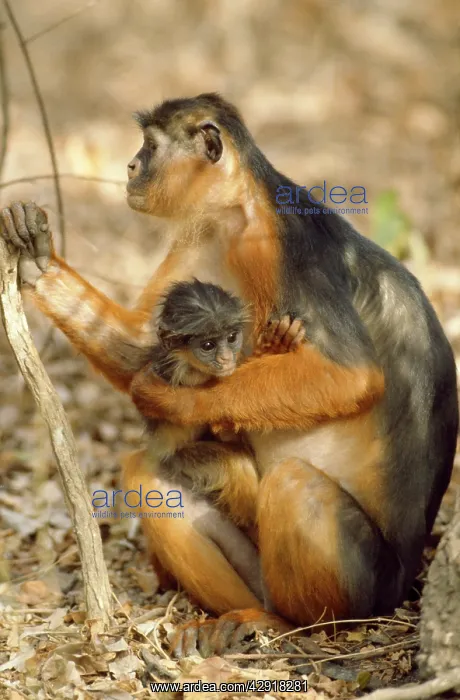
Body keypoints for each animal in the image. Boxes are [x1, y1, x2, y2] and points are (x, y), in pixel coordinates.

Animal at [1, 92, 457, 659]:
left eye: (150, 147)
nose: (130, 166)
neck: (241, 206)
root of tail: (406, 584)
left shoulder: (273, 244)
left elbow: (352, 377)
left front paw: (174, 404)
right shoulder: (206, 238)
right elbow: (146, 349)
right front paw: (38, 261)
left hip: (367, 587)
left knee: (293, 483)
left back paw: (287, 625)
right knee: (148, 474)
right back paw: (239, 612)